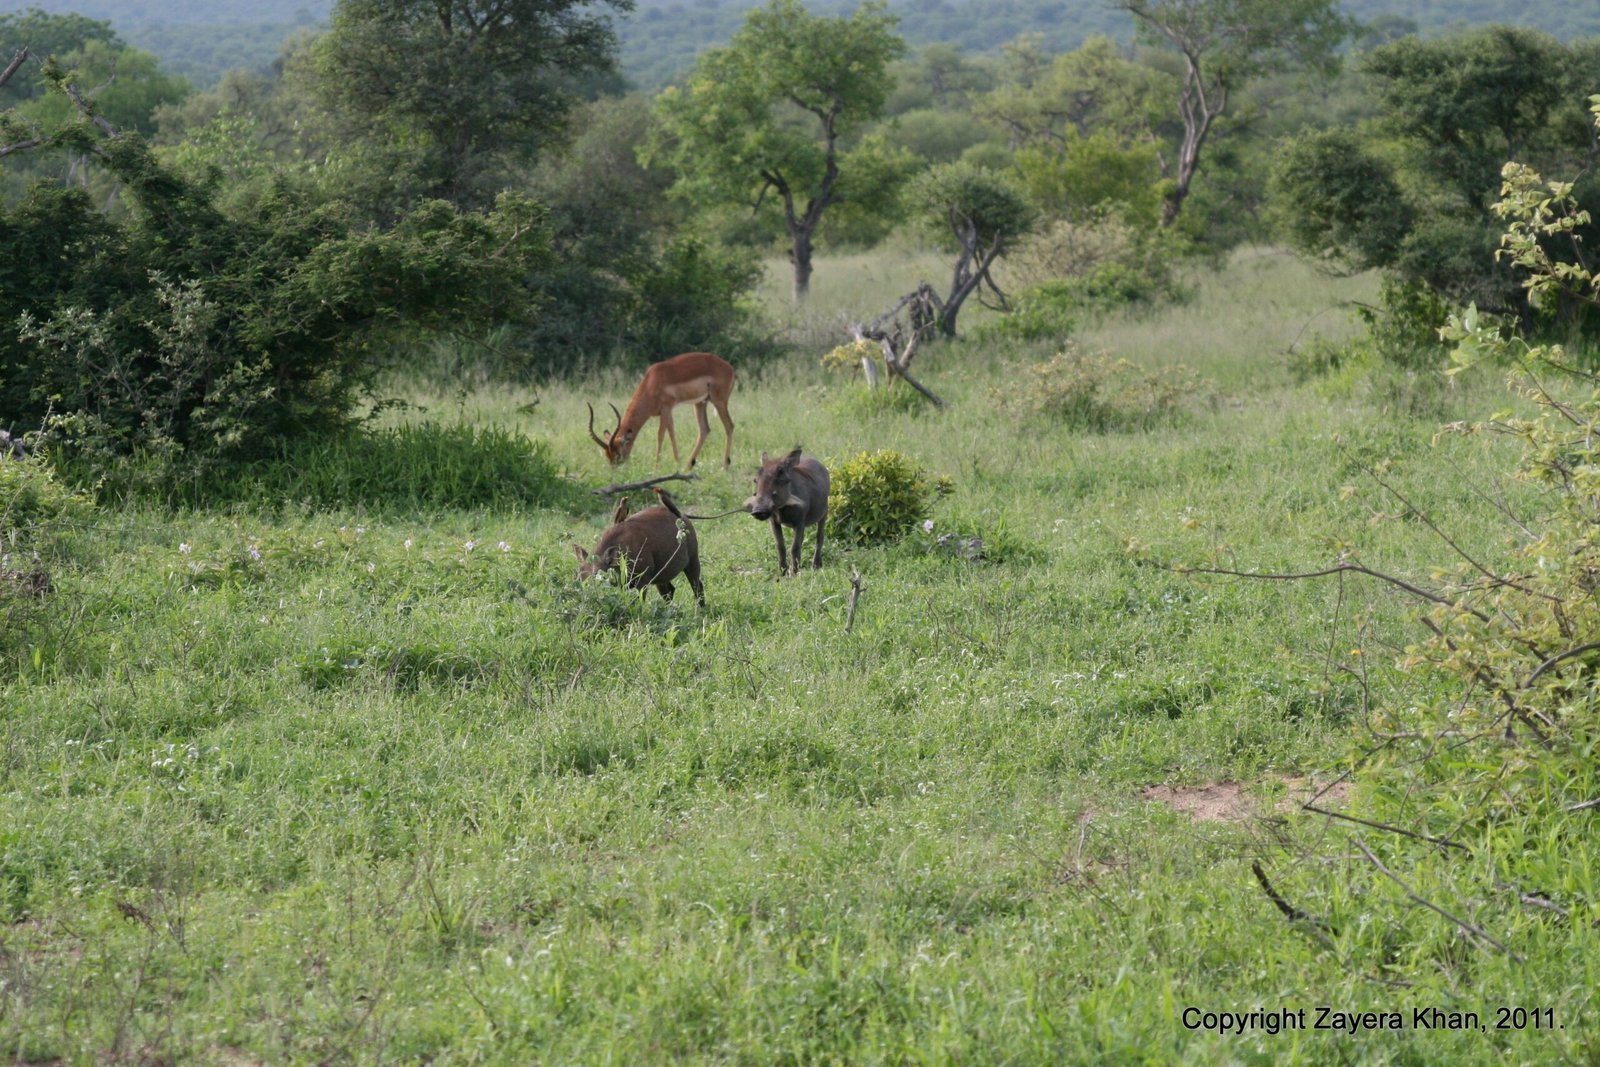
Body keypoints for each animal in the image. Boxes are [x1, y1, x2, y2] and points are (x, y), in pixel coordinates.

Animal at [588, 352, 735, 469]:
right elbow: (672, 433)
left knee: (729, 426)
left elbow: (660, 435)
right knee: (704, 430)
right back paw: (688, 465)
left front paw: (656, 467)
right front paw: (677, 462)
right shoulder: (667, 411)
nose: (615, 470)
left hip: (719, 402)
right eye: (607, 455)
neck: (650, 383)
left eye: (618, 454)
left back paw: (724, 466)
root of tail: (731, 369)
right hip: (699, 403)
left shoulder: (665, 409)